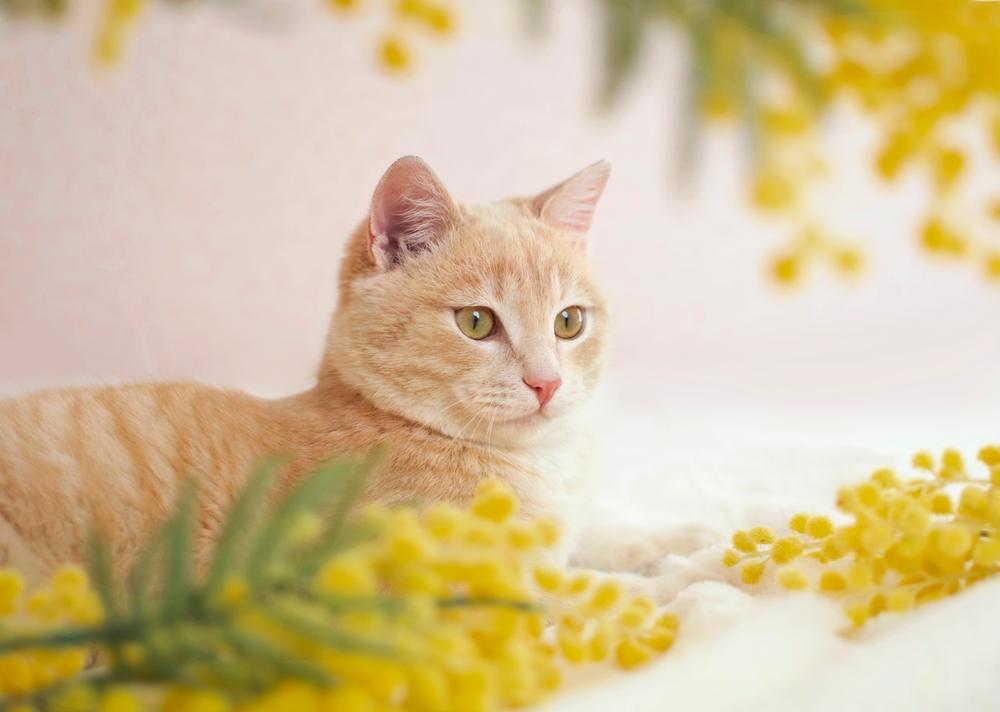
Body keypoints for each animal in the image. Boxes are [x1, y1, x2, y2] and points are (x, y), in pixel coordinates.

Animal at [1, 157, 720, 596]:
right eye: (478, 323)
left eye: (569, 323)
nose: (547, 383)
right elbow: (597, 592)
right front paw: (701, 576)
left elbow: (596, 536)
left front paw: (684, 536)